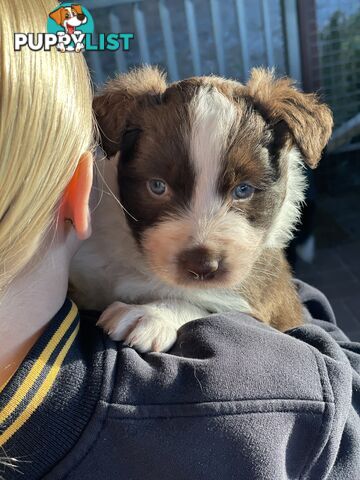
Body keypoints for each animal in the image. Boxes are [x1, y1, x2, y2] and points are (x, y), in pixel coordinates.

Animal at [69, 65, 334, 352]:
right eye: (158, 186)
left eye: (243, 190)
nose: (203, 266)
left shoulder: (264, 297)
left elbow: (209, 306)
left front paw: (151, 314)